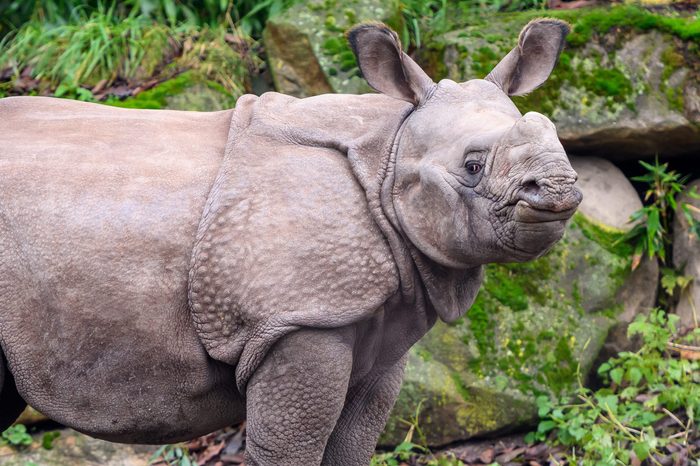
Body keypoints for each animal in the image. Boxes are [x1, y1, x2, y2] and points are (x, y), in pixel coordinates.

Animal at [0, 20, 580, 466]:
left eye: (557, 138)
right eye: (473, 166)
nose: (557, 186)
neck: (388, 157)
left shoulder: (379, 330)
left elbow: (351, 446)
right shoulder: (295, 319)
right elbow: (292, 448)